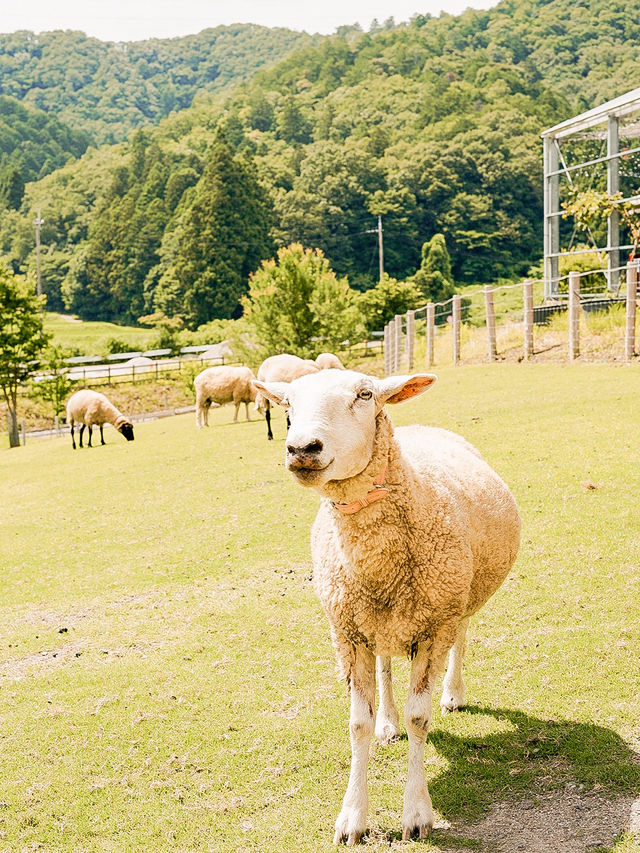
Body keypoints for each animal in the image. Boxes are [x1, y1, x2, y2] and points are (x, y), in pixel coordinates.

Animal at [252, 368, 524, 844]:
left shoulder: (435, 626)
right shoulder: (347, 633)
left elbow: (420, 718)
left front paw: (416, 814)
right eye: (287, 405)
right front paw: (351, 817)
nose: (302, 448)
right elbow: (357, 723)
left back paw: (453, 693)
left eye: (364, 395)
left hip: (460, 598)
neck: (377, 558)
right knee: (385, 666)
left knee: (462, 638)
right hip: (380, 622)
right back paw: (388, 722)